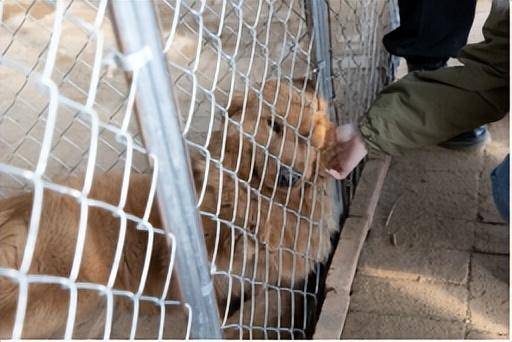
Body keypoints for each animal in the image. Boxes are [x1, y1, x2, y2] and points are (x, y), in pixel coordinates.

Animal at [0, 79, 336, 338]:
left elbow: (271, 298)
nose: (289, 177)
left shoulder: (267, 279)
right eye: (274, 125)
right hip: (67, 290)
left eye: (308, 137)